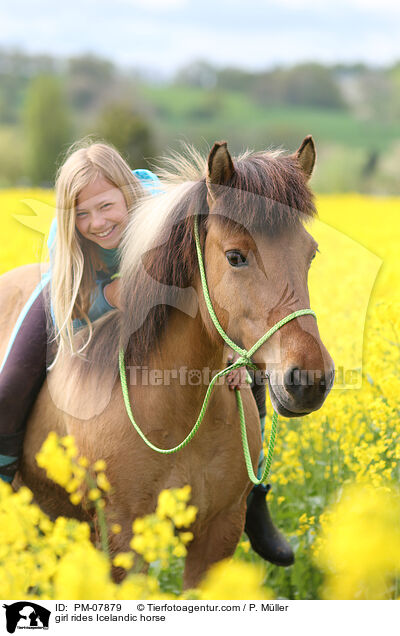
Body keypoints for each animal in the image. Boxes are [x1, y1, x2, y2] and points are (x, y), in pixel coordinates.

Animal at [0, 137, 334, 588]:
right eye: (235, 256)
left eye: (310, 254)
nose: (310, 378)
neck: (177, 408)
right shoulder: (123, 535)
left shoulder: (219, 531)